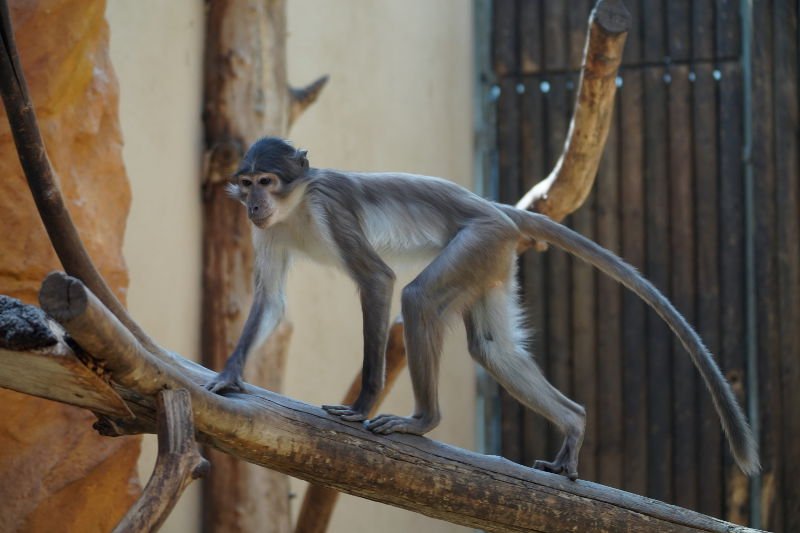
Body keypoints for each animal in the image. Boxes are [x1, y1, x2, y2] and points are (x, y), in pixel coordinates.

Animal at [205, 136, 756, 478]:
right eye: (247, 184)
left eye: (266, 181)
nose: (252, 204)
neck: (294, 207)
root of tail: (495, 209)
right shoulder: (267, 231)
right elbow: (270, 302)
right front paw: (229, 376)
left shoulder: (328, 206)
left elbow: (378, 280)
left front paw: (362, 405)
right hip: (492, 260)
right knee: (493, 349)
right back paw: (574, 424)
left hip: (479, 240)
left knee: (418, 299)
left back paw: (423, 420)